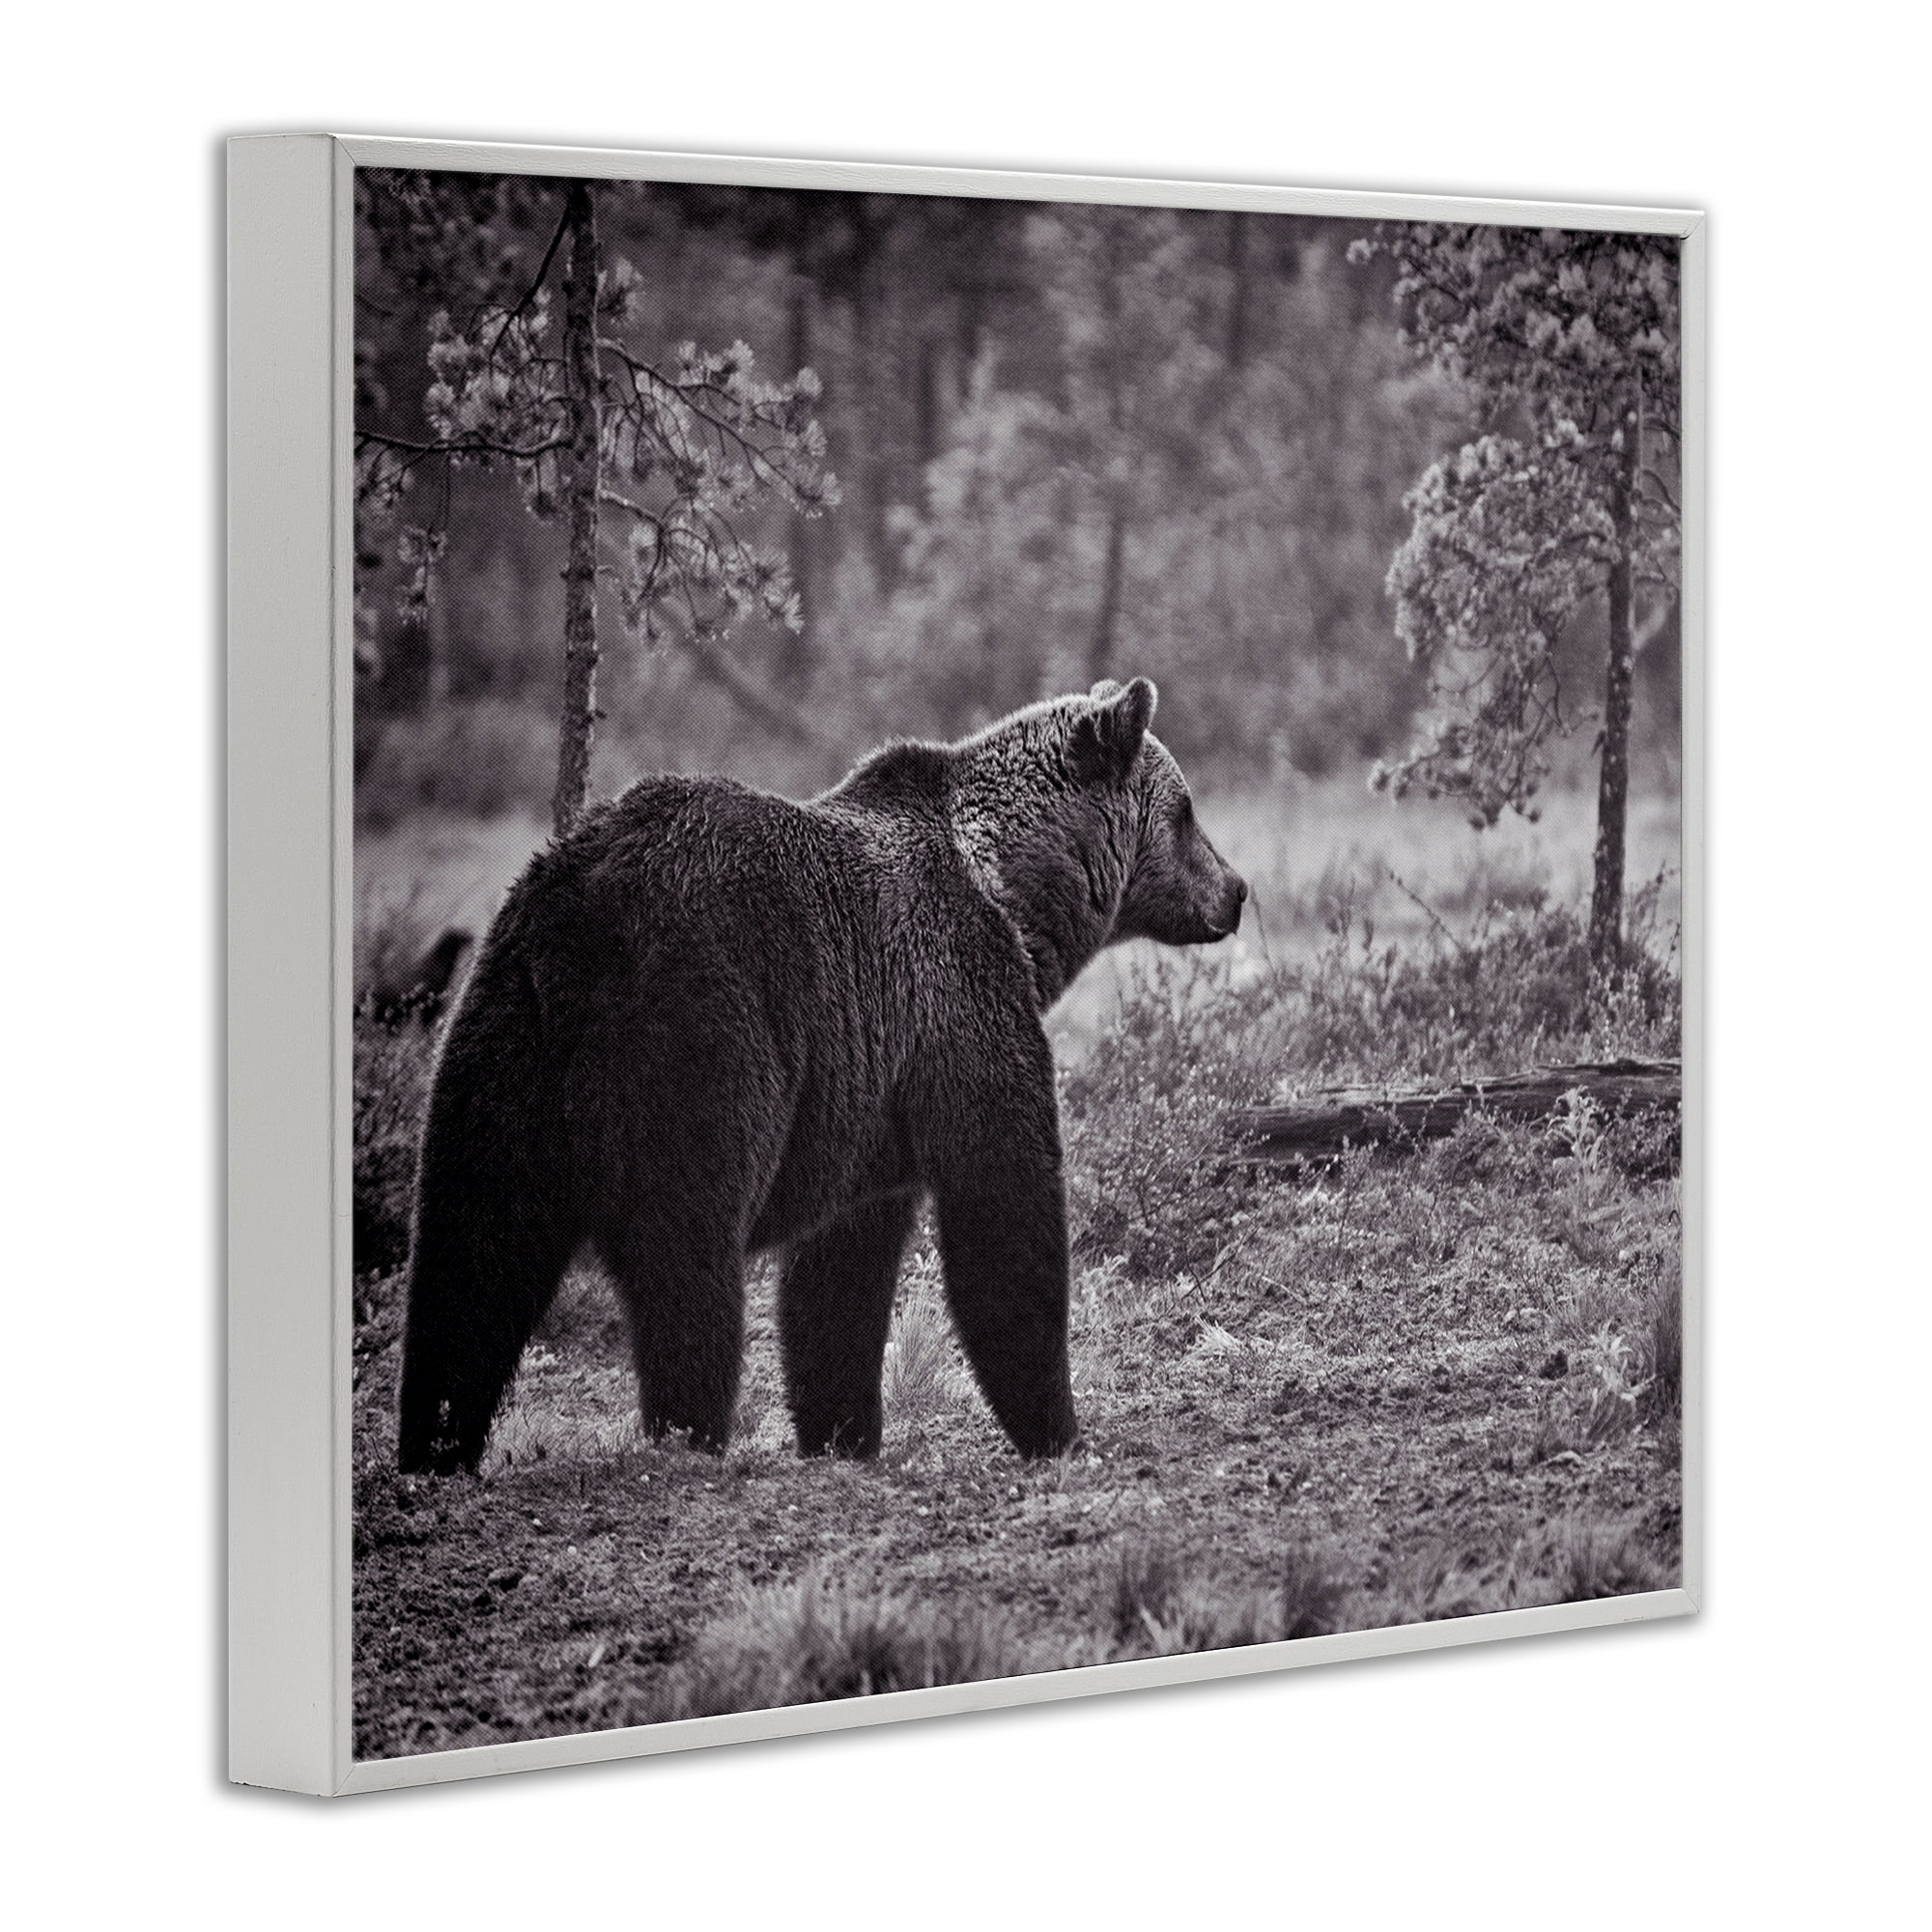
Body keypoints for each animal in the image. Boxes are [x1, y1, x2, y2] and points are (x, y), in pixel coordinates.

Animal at [396, 677, 1246, 1475]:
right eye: (1186, 811)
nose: (1236, 890)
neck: (1011, 893)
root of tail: (584, 913)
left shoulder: (869, 1100)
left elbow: (839, 1278)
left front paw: (844, 1433)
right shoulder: (959, 1001)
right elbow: (1003, 1206)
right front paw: (1059, 1430)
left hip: (502, 1038)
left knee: (469, 1255)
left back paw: (434, 1447)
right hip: (699, 1029)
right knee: (684, 1255)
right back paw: (688, 1434)